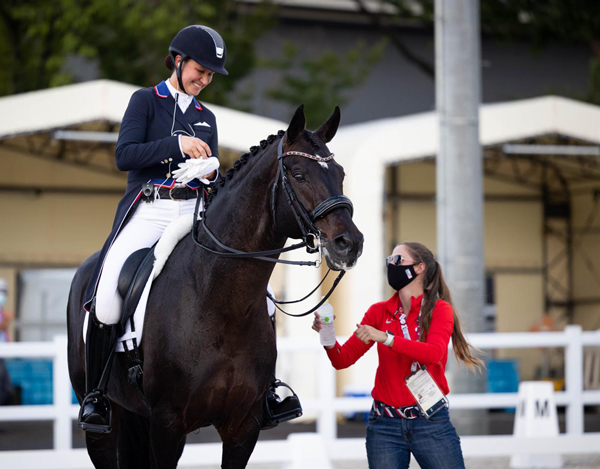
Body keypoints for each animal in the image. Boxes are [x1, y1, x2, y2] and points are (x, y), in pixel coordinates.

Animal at [68, 104, 364, 466]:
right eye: (298, 175)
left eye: (340, 173)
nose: (350, 244)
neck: (218, 301)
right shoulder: (166, 425)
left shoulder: (243, 427)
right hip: (104, 426)